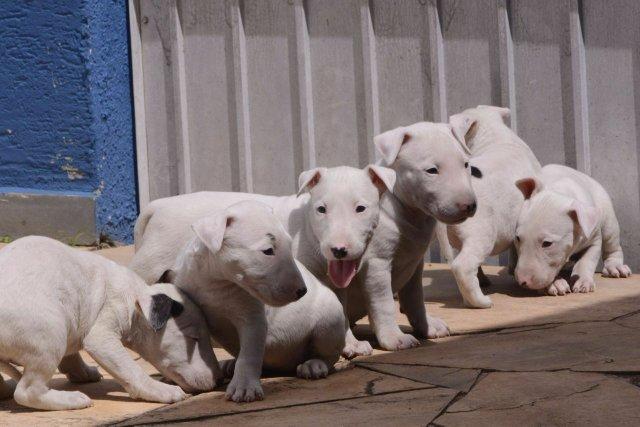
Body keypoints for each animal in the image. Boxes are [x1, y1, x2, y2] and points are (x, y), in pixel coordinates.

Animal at [0, 236, 221, 412]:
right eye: (193, 338)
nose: (219, 380)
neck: (135, 297)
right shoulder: (102, 336)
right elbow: (131, 369)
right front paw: (162, 390)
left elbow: (71, 355)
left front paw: (82, 372)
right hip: (50, 336)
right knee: (27, 392)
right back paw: (70, 399)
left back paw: (5, 389)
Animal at [149, 202, 308, 402]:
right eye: (268, 251)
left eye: (289, 245)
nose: (302, 291)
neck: (215, 281)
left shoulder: (252, 317)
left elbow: (249, 353)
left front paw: (244, 387)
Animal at [342, 123, 478, 358]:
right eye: (431, 170)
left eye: (466, 164)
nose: (469, 206)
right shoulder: (376, 264)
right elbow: (384, 303)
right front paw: (394, 338)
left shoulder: (414, 264)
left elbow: (415, 298)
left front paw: (428, 327)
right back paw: (353, 344)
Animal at [512, 164, 632, 294]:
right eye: (517, 238)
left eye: (547, 243)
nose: (522, 281)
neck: (559, 190)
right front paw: (555, 284)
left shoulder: (594, 239)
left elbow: (586, 261)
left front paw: (583, 281)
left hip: (608, 220)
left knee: (612, 245)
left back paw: (615, 267)